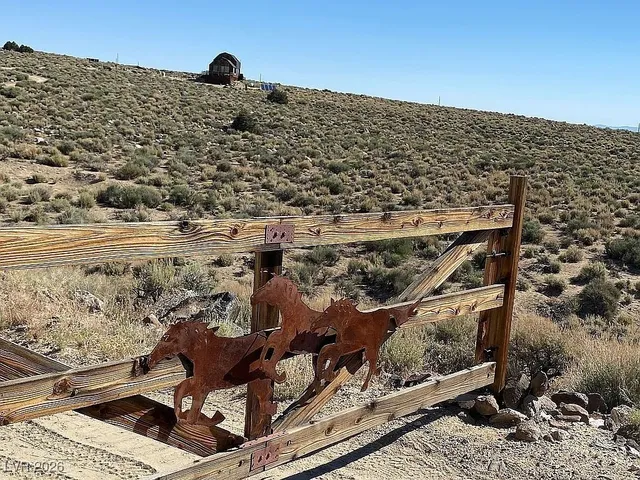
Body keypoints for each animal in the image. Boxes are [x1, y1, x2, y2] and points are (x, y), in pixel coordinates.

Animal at [147, 321, 275, 425]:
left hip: (259, 381)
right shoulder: (199, 384)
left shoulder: (201, 386)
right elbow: (180, 392)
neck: (203, 350)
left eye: (165, 337)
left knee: (265, 400)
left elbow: (192, 412)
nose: (150, 359)